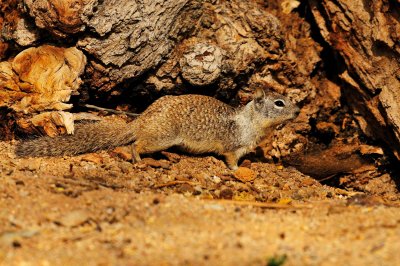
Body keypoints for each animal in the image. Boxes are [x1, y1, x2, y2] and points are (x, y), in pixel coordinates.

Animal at [15, 88, 298, 169]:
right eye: (279, 103)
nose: (297, 111)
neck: (250, 122)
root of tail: (142, 118)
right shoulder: (232, 147)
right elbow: (231, 160)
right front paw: (238, 171)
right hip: (163, 137)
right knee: (136, 143)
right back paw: (139, 159)